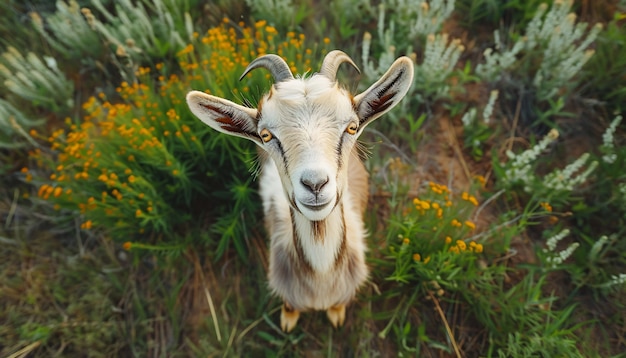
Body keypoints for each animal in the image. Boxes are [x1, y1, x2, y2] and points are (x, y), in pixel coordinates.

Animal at [184, 49, 410, 332]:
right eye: (266, 135)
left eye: (352, 127)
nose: (315, 184)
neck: (321, 281)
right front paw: (288, 320)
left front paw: (336, 315)